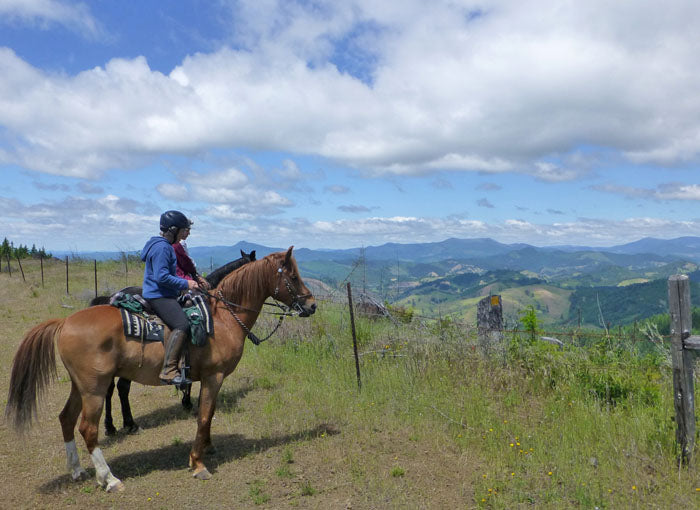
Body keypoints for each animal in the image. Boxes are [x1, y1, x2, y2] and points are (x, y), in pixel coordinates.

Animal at [87, 249, 258, 436]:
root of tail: (111, 299)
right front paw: (188, 402)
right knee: (122, 388)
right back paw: (129, 424)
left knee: (109, 389)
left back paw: (110, 426)